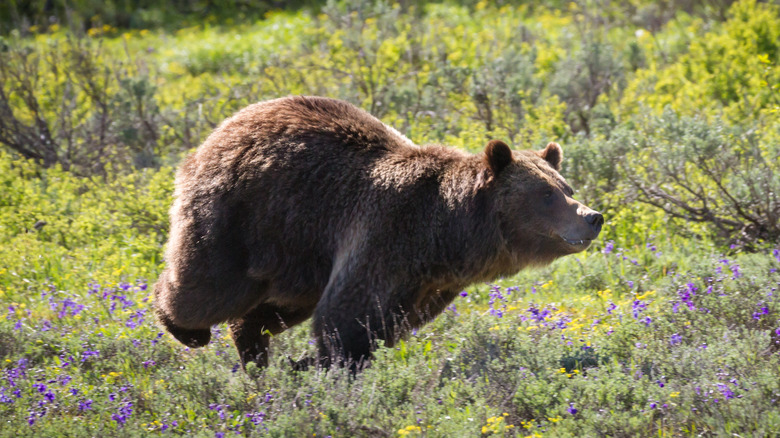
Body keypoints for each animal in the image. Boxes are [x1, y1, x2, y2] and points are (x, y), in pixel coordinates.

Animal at [152, 96, 604, 370]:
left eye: (566, 187)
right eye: (545, 195)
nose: (592, 216)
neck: (446, 234)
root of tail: (224, 126)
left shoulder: (427, 284)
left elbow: (379, 324)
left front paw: (303, 364)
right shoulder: (384, 233)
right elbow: (347, 317)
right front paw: (321, 365)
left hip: (299, 258)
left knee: (274, 309)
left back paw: (255, 354)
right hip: (242, 216)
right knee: (207, 288)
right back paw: (186, 328)